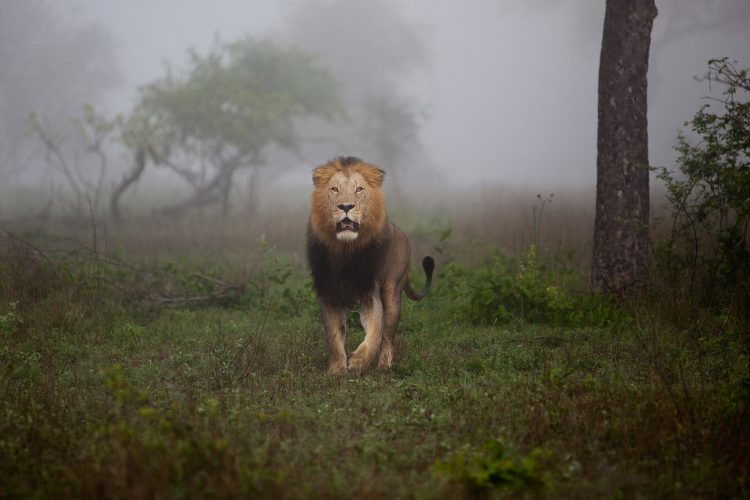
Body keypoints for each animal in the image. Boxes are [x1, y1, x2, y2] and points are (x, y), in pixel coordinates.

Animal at [306, 156, 434, 376]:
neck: (345, 251)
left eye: (359, 189)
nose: (346, 206)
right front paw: (337, 370)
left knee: (388, 336)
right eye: (334, 189)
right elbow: (333, 337)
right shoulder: (328, 295)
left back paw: (383, 367)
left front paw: (359, 362)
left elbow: (375, 333)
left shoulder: (369, 294)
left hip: (392, 293)